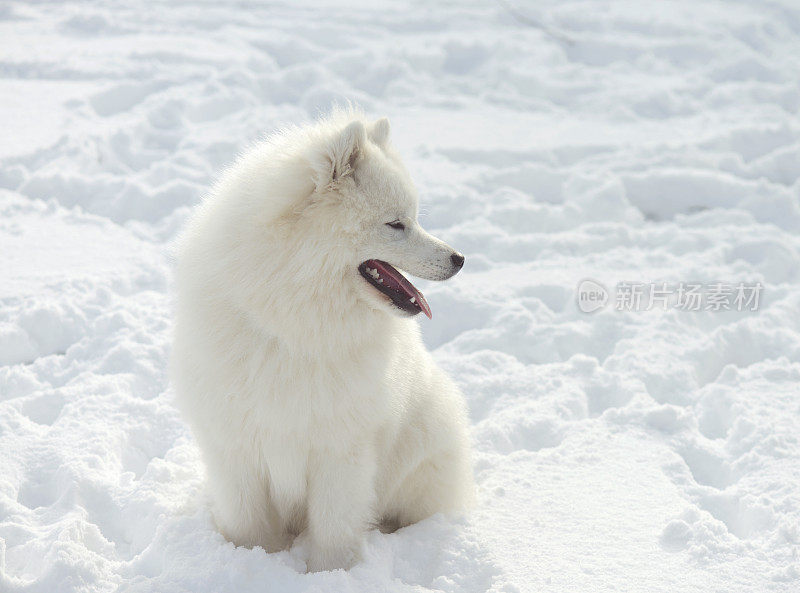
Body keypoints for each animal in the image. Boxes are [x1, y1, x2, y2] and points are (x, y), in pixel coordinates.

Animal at [173, 108, 476, 572]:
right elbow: (248, 525)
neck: (291, 326)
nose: (459, 259)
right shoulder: (236, 446)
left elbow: (334, 529)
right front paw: (250, 561)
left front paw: (330, 574)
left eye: (415, 217)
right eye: (396, 224)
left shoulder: (341, 450)